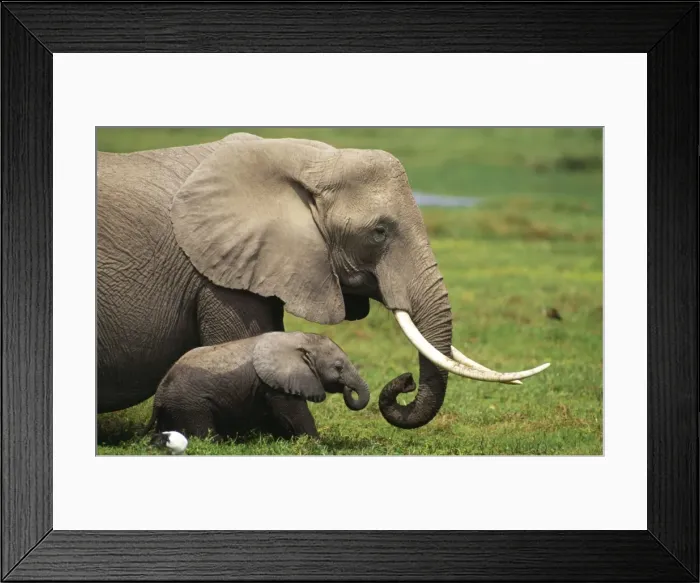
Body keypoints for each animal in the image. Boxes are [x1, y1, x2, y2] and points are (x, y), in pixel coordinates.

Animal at [142, 331, 370, 439]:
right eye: (338, 367)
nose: (347, 388)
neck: (300, 340)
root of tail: (159, 395)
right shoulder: (276, 383)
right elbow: (294, 413)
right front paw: (317, 443)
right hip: (190, 404)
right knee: (205, 432)